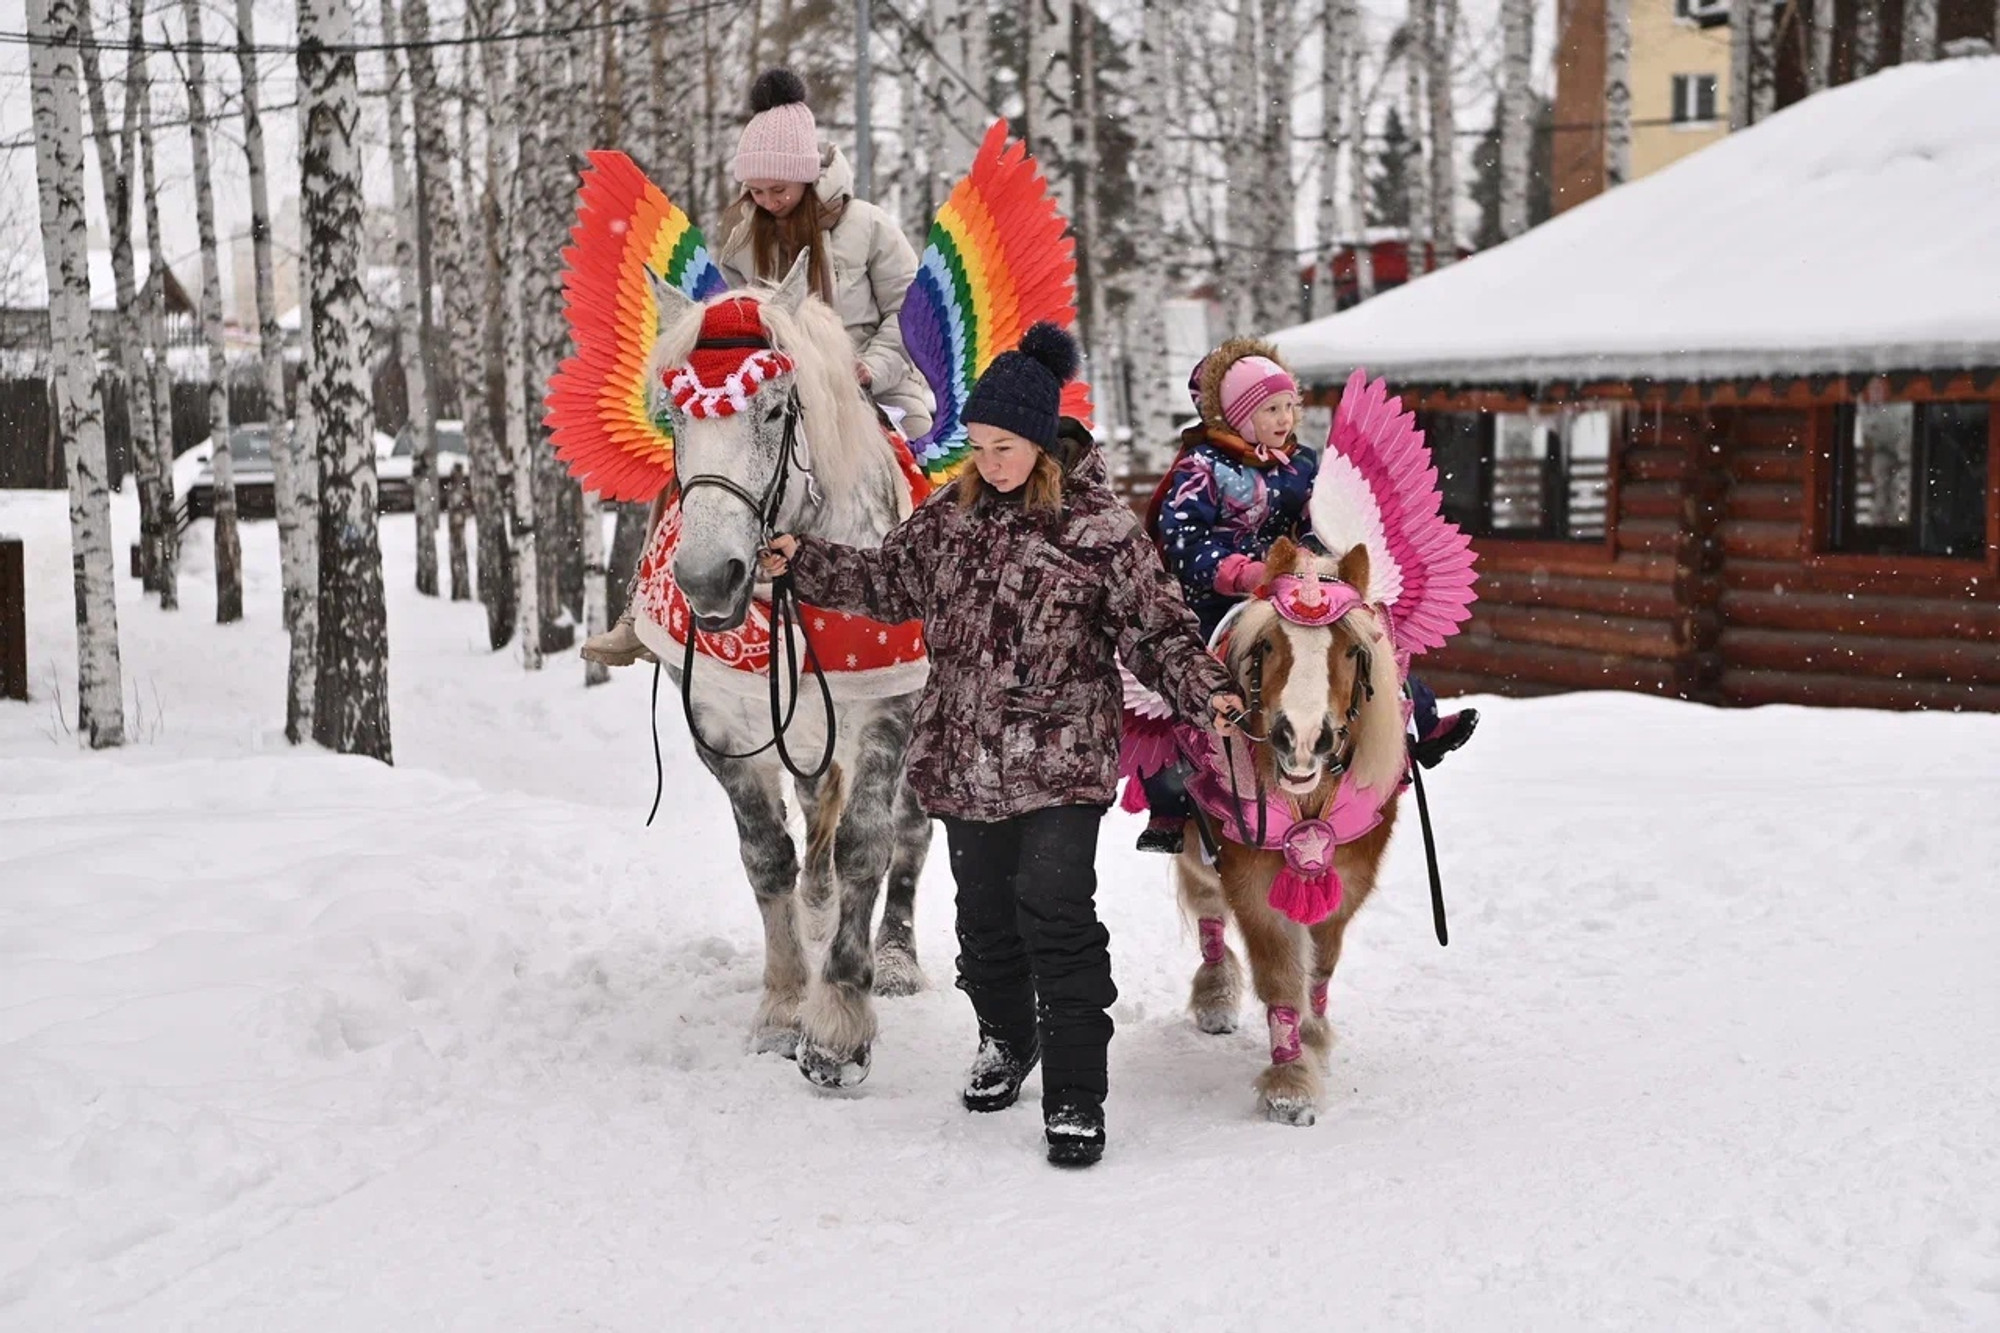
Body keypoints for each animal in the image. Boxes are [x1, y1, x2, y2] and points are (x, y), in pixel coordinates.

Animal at [644, 254, 940, 1088]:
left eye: (776, 409)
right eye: (675, 416)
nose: (708, 578)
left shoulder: (887, 712)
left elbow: (869, 843)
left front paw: (838, 1021)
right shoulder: (721, 726)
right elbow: (766, 855)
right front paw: (781, 1005)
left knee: (910, 832)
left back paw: (895, 956)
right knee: (814, 813)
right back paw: (816, 904)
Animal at [1168, 536, 1408, 1112]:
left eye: (1352, 652)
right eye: (1268, 646)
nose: (1300, 738)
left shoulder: (1349, 875)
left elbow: (1319, 964)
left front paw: (1315, 1040)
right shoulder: (1249, 876)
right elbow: (1279, 977)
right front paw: (1290, 1084)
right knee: (1207, 907)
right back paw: (1215, 995)